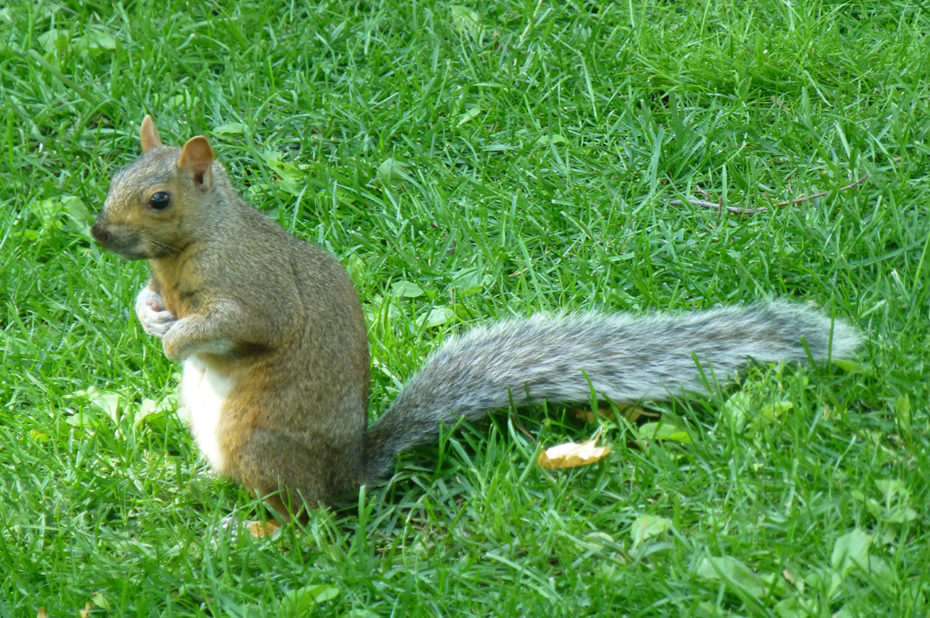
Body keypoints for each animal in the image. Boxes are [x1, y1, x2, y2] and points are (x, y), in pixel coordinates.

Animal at [90, 114, 860, 516]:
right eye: (113, 179)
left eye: (159, 199)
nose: (98, 233)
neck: (193, 248)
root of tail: (349, 477)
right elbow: (152, 303)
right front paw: (149, 316)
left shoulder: (258, 288)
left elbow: (244, 326)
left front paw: (177, 340)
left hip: (262, 444)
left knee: (299, 517)